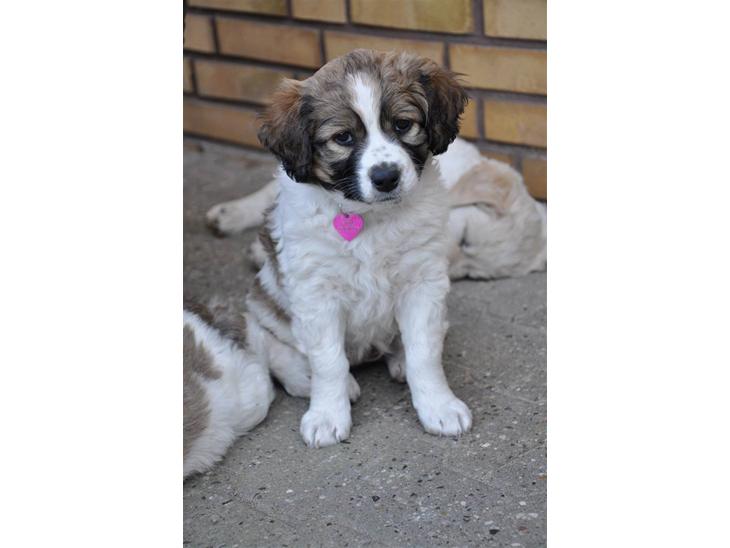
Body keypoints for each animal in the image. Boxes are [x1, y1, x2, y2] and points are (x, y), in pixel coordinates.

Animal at [242, 49, 474, 448]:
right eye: (344, 137)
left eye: (402, 125)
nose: (386, 178)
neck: (368, 218)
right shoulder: (315, 293)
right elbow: (327, 361)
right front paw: (326, 415)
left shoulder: (422, 281)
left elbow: (425, 352)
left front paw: (438, 406)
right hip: (264, 302)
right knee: (280, 350)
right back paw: (313, 380)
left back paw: (398, 360)